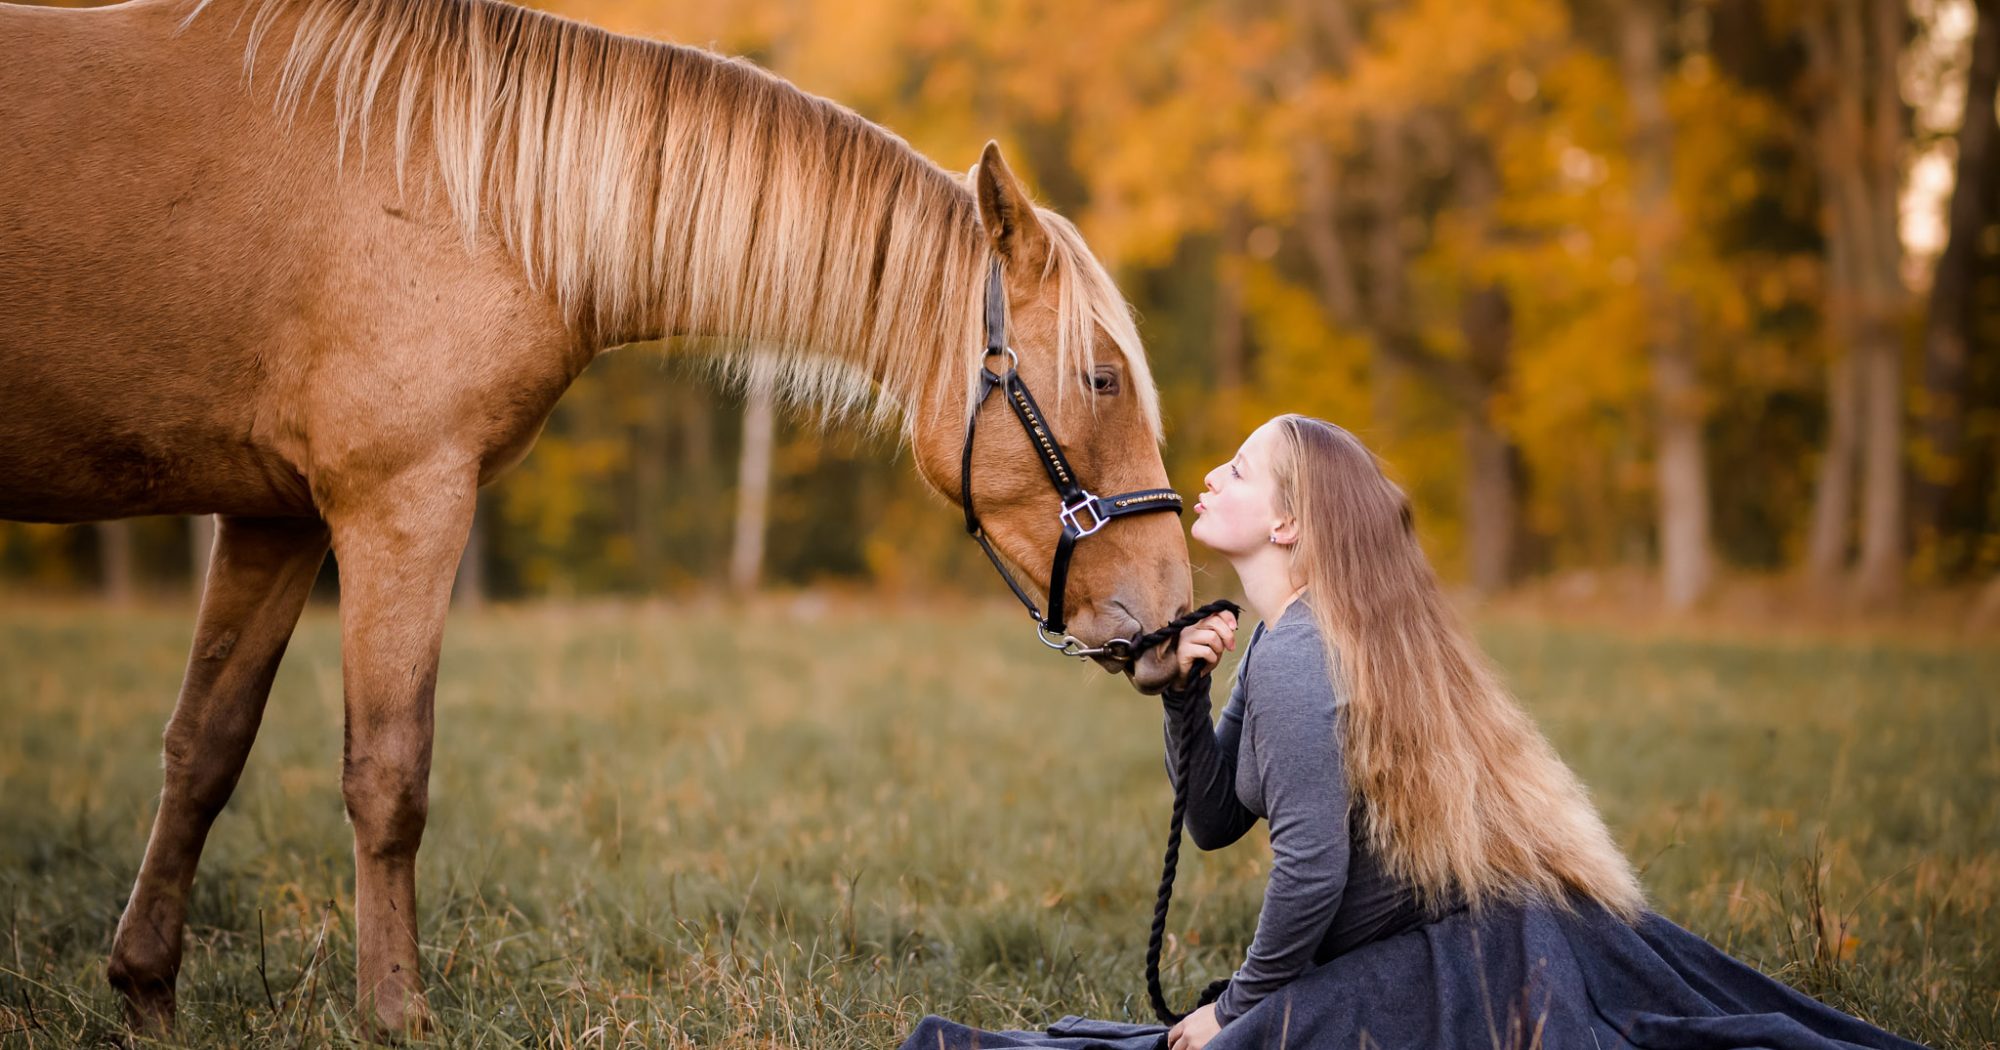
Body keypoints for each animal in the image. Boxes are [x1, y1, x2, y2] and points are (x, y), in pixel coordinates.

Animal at [0, 0, 1192, 1032]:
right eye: (1100, 380)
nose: (1179, 617)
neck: (455, 187)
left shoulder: (273, 517)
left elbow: (204, 748)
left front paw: (145, 993)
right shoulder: (402, 501)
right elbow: (387, 772)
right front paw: (397, 1016)